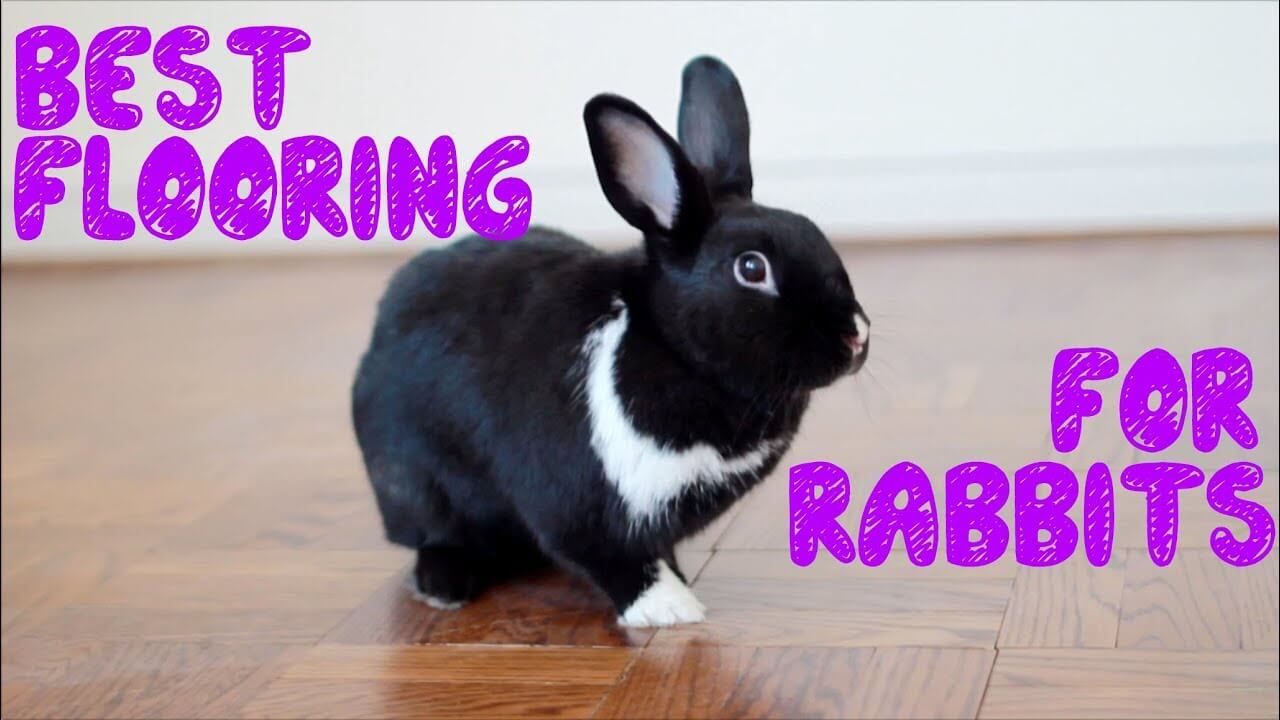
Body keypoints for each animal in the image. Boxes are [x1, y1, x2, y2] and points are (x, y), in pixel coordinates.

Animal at [351, 56, 870, 627]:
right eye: (752, 269)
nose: (856, 336)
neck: (674, 351)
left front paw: (678, 584)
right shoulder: (575, 500)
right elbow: (611, 557)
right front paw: (669, 607)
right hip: (415, 485)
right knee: (436, 538)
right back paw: (444, 586)